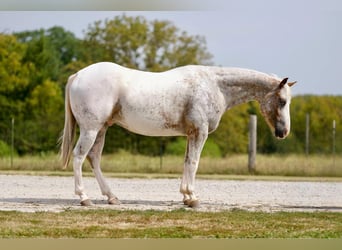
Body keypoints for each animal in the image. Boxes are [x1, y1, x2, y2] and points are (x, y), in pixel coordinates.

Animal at [60, 62, 296, 207]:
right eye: (282, 101)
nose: (283, 132)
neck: (214, 86)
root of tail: (78, 75)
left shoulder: (191, 134)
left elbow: (186, 162)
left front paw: (186, 196)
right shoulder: (200, 132)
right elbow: (194, 163)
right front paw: (193, 198)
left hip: (101, 129)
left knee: (94, 159)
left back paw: (112, 197)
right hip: (91, 129)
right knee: (79, 157)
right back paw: (84, 198)